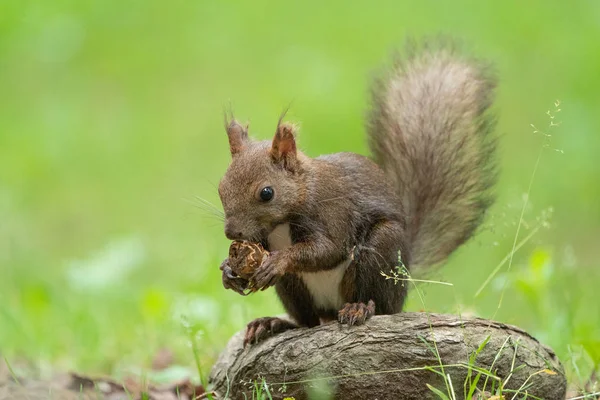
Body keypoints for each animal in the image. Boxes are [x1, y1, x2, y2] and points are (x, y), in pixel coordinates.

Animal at [216, 40, 496, 346]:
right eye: (220, 188)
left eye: (267, 193)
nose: (231, 233)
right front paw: (228, 270)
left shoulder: (333, 212)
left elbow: (328, 250)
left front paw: (279, 260)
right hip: (293, 287)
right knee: (307, 321)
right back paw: (273, 324)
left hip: (381, 251)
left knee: (380, 305)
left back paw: (360, 308)